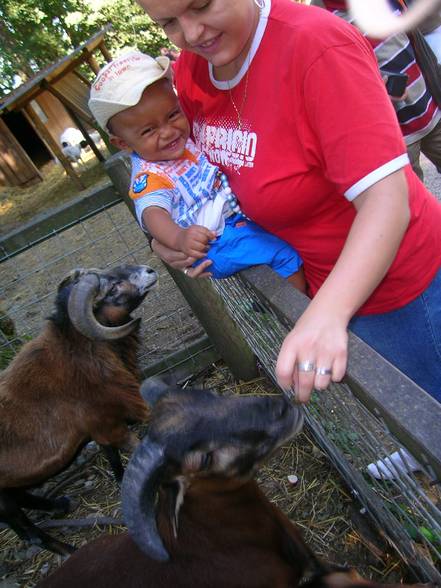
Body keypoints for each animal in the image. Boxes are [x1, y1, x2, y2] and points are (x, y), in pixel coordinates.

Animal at [0, 266, 157, 556]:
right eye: (112, 288)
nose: (149, 270)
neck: (78, 349)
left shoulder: (101, 426)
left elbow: (112, 457)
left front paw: (121, 480)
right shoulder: (111, 426)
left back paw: (60, 505)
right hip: (2, 502)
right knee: (31, 535)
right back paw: (70, 551)